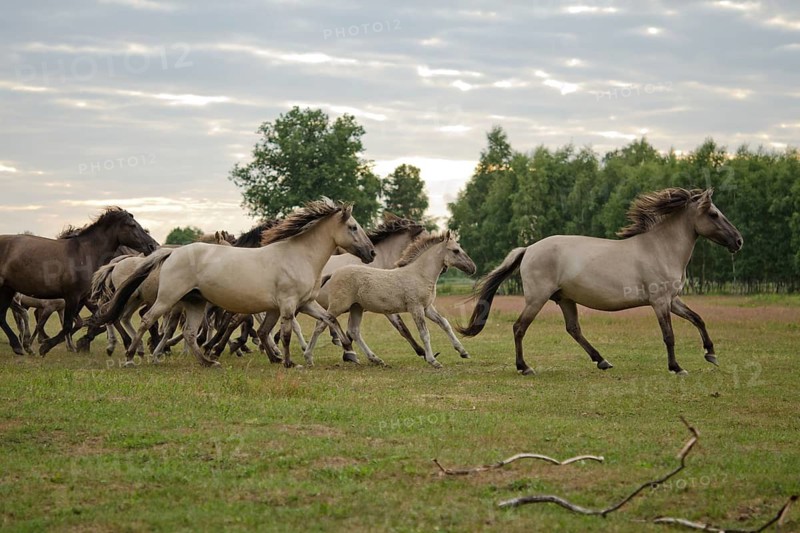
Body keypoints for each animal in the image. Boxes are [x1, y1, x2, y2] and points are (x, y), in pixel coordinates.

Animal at [0, 207, 158, 355]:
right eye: (132, 225)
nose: (153, 246)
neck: (84, 253)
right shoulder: (72, 296)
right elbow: (68, 325)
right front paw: (46, 346)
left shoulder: (81, 298)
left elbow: (84, 322)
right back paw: (21, 345)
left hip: (8, 289)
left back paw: (18, 346)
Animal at [91, 199, 375, 368]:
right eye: (353, 227)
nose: (371, 253)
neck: (298, 255)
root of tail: (171, 253)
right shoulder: (288, 305)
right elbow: (283, 334)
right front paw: (288, 362)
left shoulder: (303, 304)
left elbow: (329, 319)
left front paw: (349, 351)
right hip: (168, 299)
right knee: (147, 320)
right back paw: (131, 356)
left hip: (194, 302)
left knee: (191, 333)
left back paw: (207, 362)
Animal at [304, 231, 476, 368]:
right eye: (456, 250)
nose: (472, 268)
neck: (419, 274)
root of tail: (334, 273)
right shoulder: (416, 308)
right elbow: (424, 333)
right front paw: (433, 360)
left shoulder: (427, 308)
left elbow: (445, 323)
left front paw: (463, 352)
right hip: (338, 306)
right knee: (321, 324)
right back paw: (308, 357)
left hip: (356, 307)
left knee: (354, 331)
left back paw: (376, 359)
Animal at [457, 188, 743, 376]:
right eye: (714, 214)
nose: (738, 241)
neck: (660, 248)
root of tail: (528, 249)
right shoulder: (660, 302)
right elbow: (669, 335)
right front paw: (676, 367)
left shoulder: (672, 300)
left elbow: (698, 319)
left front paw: (711, 354)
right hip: (537, 299)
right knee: (519, 327)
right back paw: (524, 367)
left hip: (565, 299)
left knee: (573, 329)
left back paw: (602, 361)